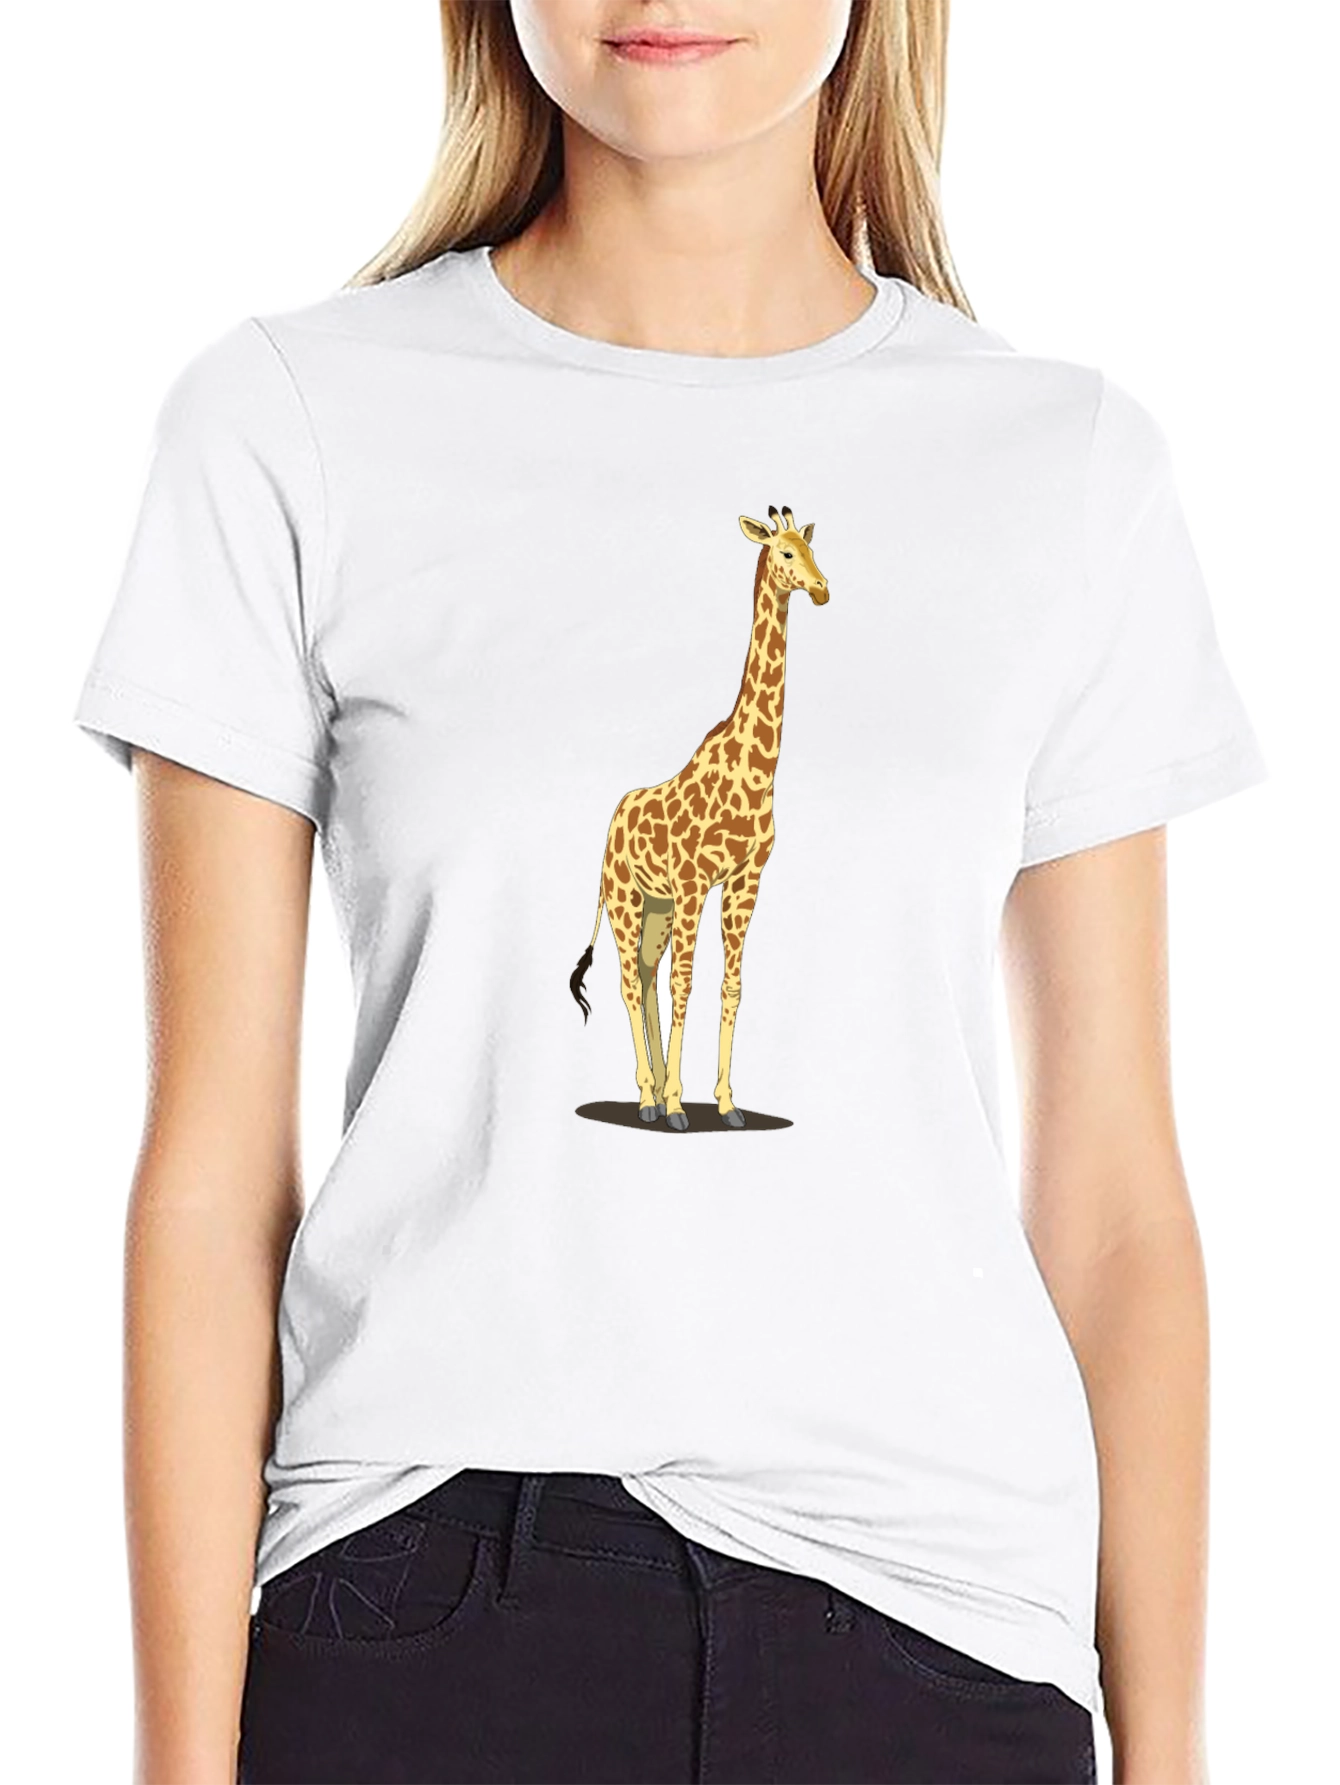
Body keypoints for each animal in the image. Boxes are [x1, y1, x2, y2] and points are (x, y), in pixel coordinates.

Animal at [570, 504, 829, 1130]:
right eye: (786, 553)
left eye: (812, 550)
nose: (822, 589)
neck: (756, 770)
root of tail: (612, 823)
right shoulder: (693, 883)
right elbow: (685, 983)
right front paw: (676, 1104)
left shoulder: (744, 881)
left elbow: (730, 986)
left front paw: (725, 1103)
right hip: (626, 899)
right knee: (629, 981)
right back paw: (649, 1096)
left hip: (656, 907)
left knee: (645, 975)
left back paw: (657, 1092)